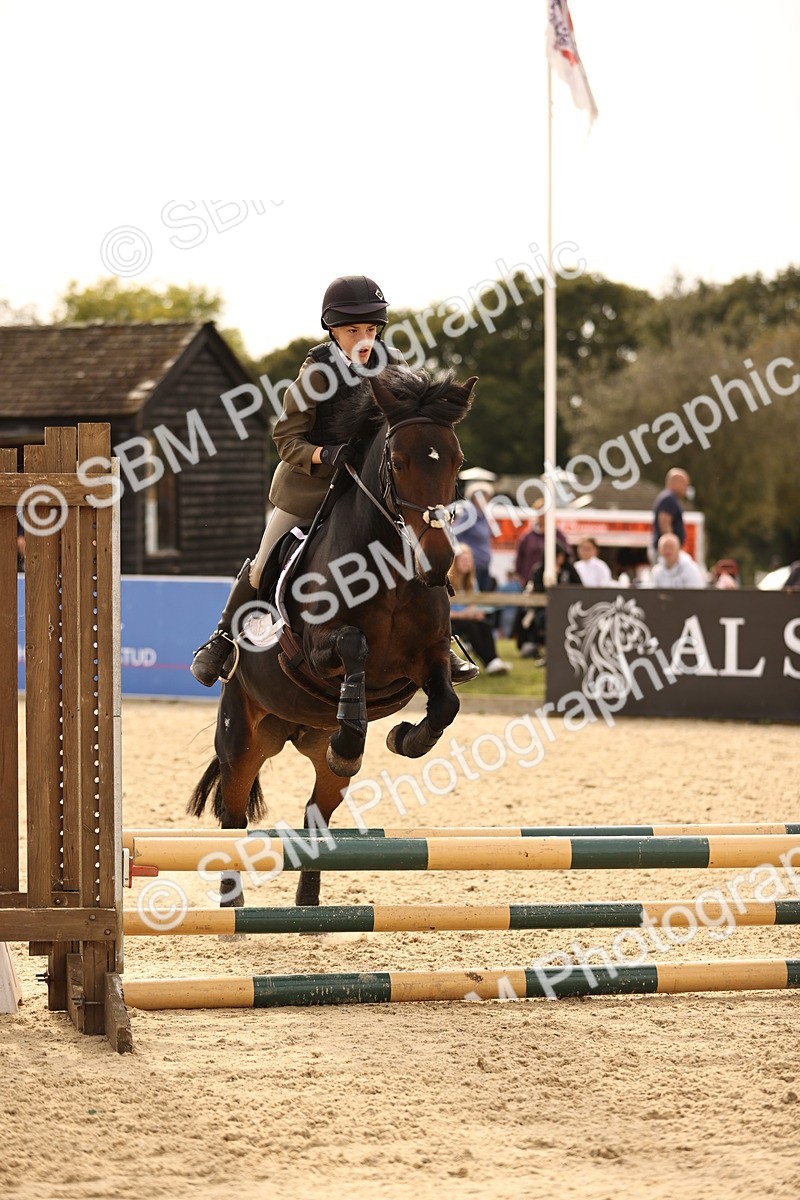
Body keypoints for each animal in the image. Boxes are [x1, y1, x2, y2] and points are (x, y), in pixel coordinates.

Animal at [188, 367, 477, 907]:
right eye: (398, 461)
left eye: (456, 460)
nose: (437, 564)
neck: (389, 570)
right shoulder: (317, 649)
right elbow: (353, 646)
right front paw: (351, 738)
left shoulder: (428, 659)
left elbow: (446, 702)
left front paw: (406, 738)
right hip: (243, 737)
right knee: (233, 815)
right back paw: (232, 903)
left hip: (313, 754)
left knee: (315, 814)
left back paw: (307, 902)